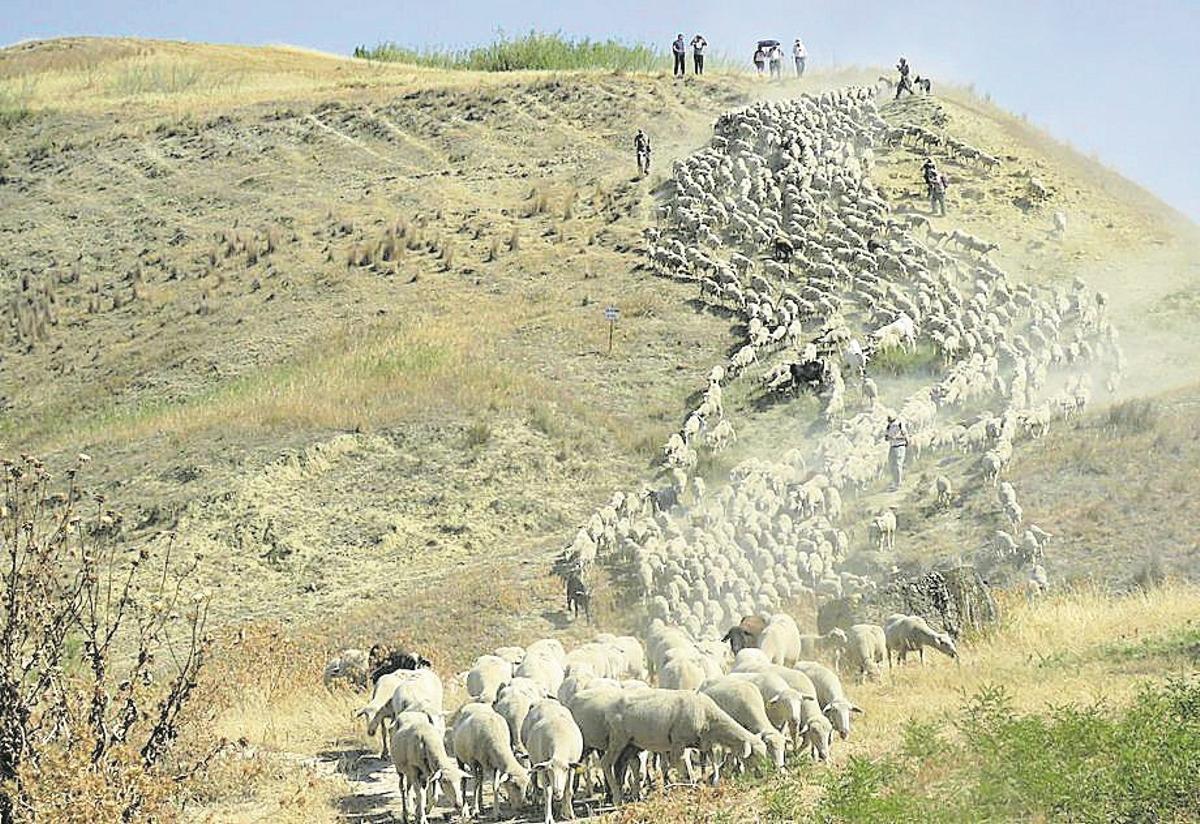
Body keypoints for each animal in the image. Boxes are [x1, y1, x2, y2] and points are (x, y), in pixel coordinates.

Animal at [597, 690, 768, 806]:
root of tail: (608, 710)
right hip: (618, 738)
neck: (709, 717)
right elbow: (684, 770)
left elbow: (709, 763)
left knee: (620, 765)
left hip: (631, 744)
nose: (763, 776)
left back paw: (630, 796)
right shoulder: (678, 742)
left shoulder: (700, 744)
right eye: (753, 756)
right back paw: (617, 798)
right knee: (606, 763)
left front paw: (711, 782)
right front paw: (691, 789)